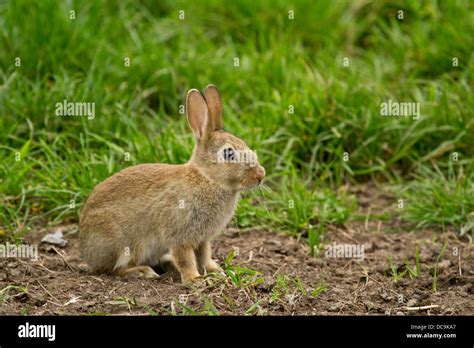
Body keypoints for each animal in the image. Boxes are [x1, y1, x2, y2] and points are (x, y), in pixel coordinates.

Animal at [81, 85, 266, 284]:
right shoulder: (179, 235)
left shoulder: (203, 239)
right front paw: (194, 279)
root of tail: (85, 248)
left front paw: (214, 271)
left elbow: (203, 255)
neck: (207, 178)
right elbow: (185, 258)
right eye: (229, 154)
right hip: (120, 245)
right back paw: (143, 272)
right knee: (113, 270)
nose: (261, 175)